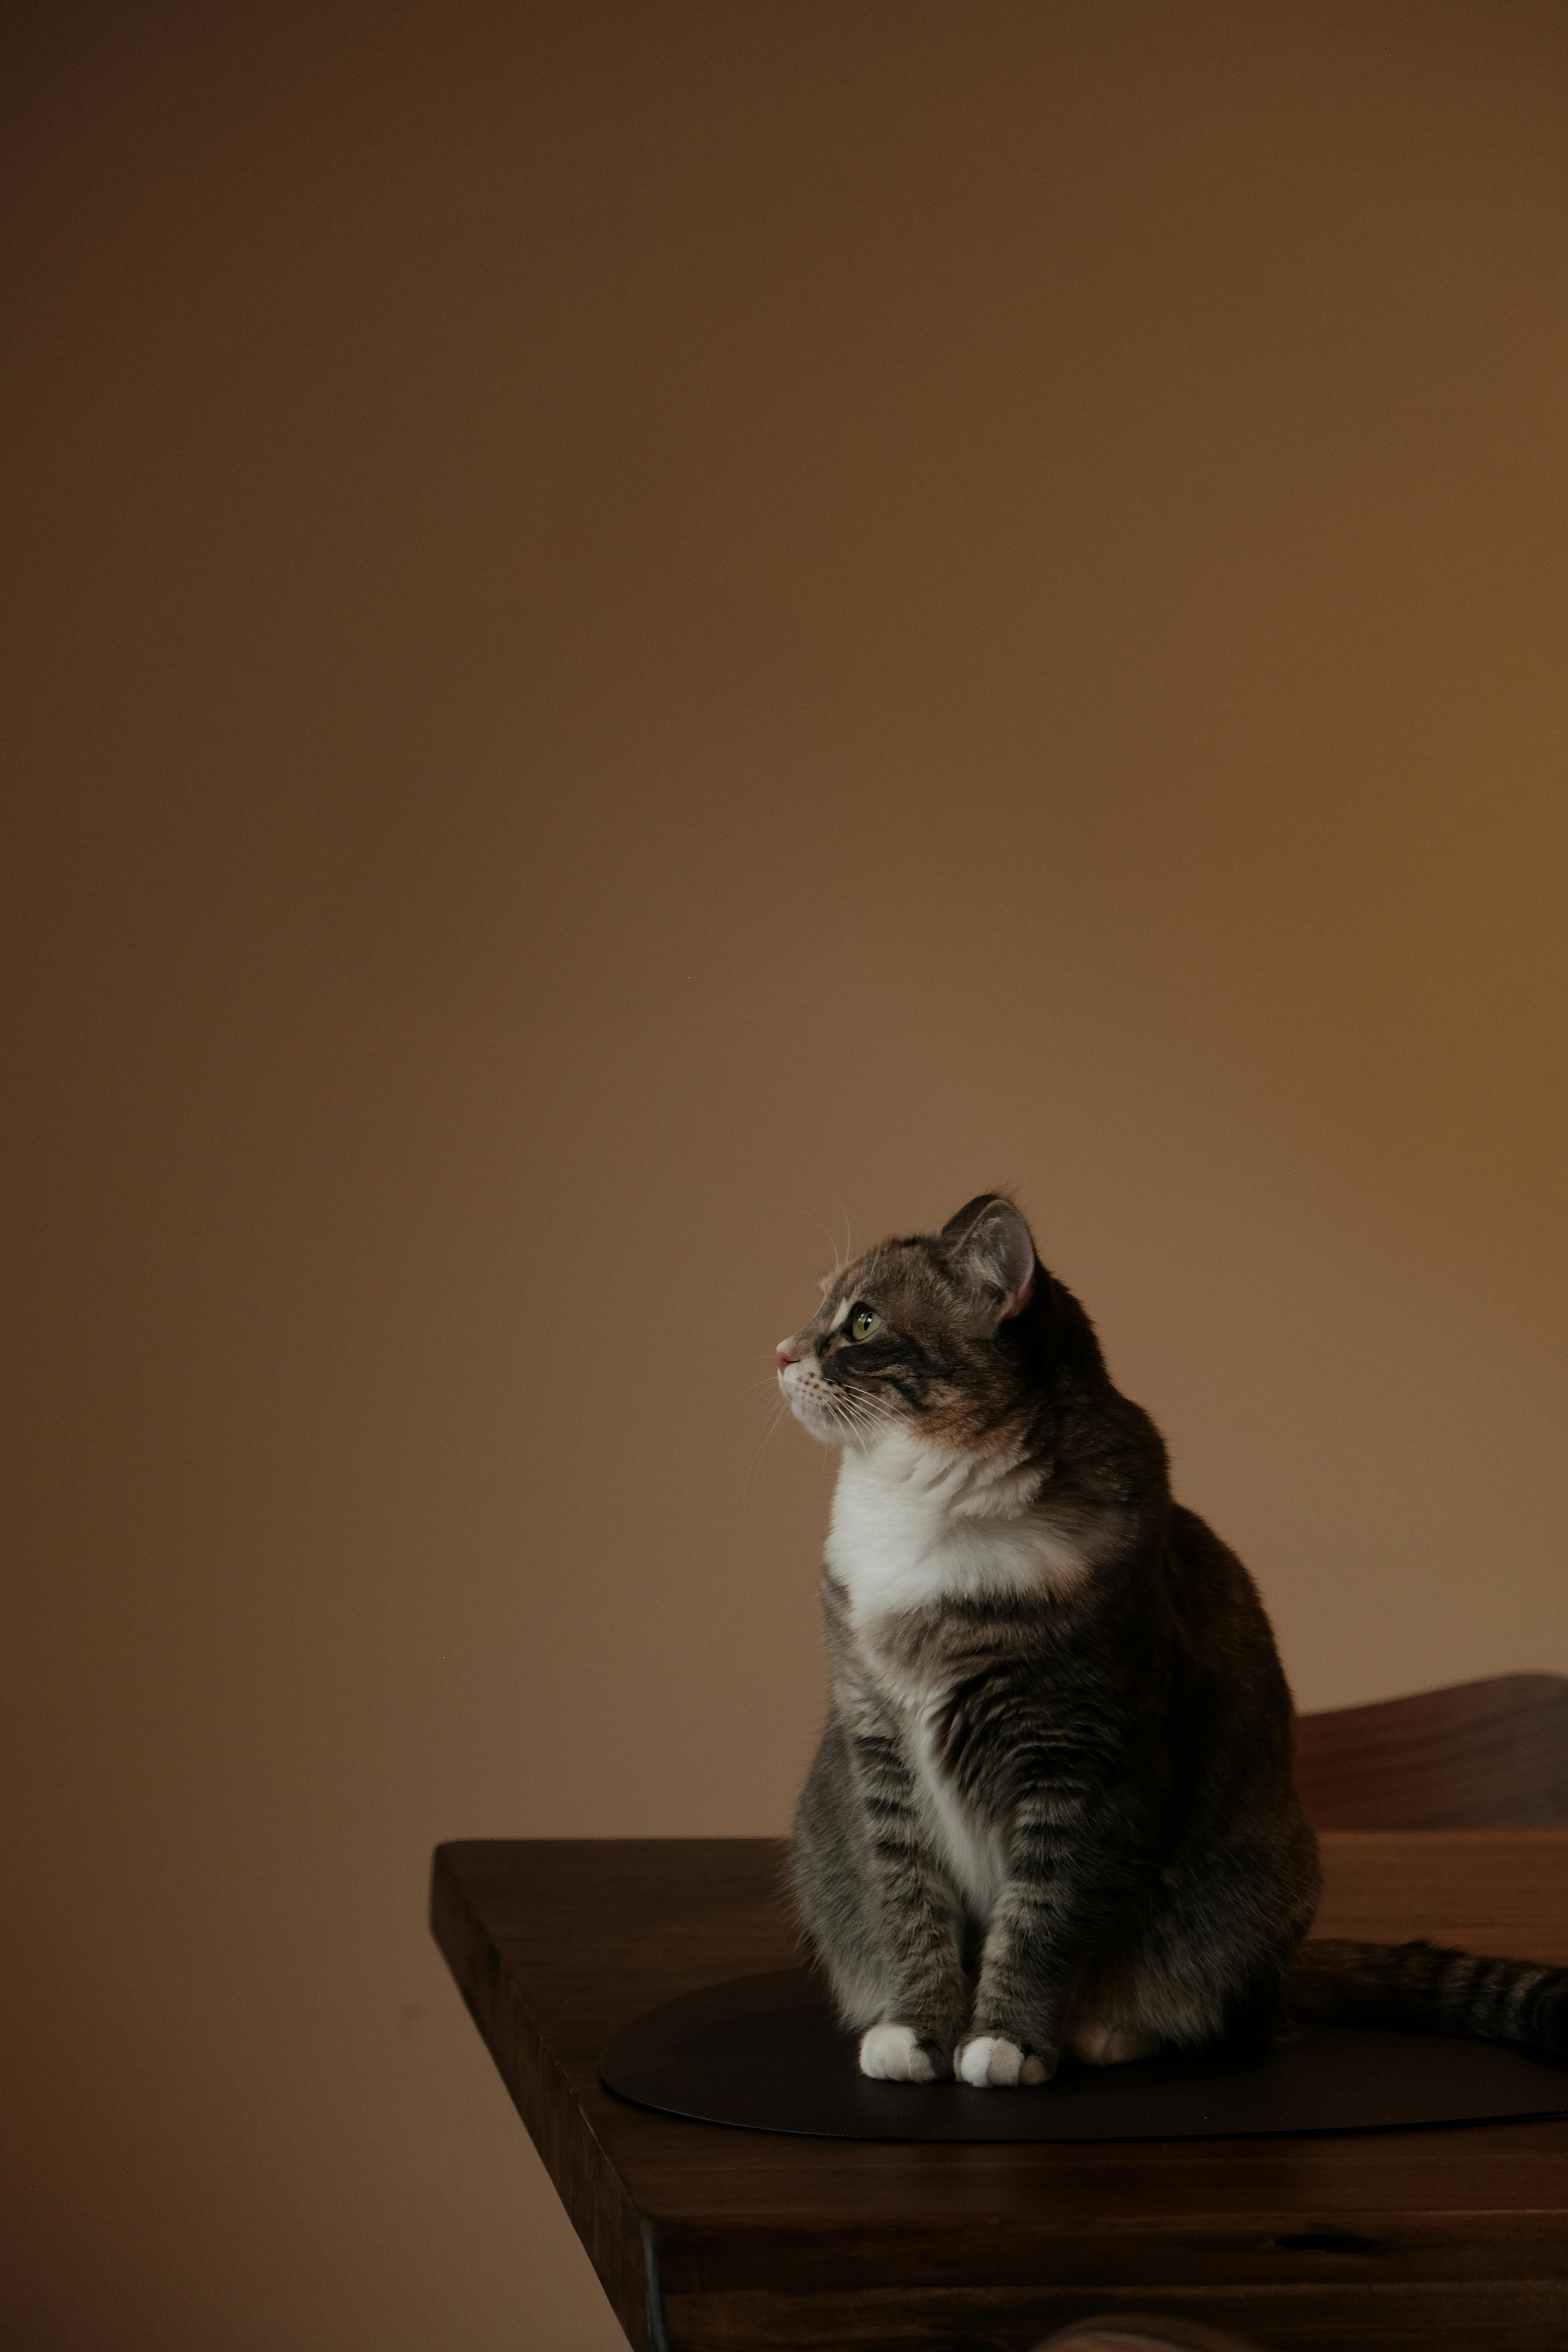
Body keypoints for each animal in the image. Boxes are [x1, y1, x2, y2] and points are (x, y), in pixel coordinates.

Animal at [785, 1204, 1568, 2089]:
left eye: (862, 1323)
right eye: (821, 1309)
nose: (780, 1351)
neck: (927, 1518)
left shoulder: (1083, 1759)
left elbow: (1040, 1920)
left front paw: (1006, 2040)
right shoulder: (879, 1748)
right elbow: (908, 1907)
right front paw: (917, 2032)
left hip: (1250, 1885)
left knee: (1238, 2010)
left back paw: (1113, 2030)